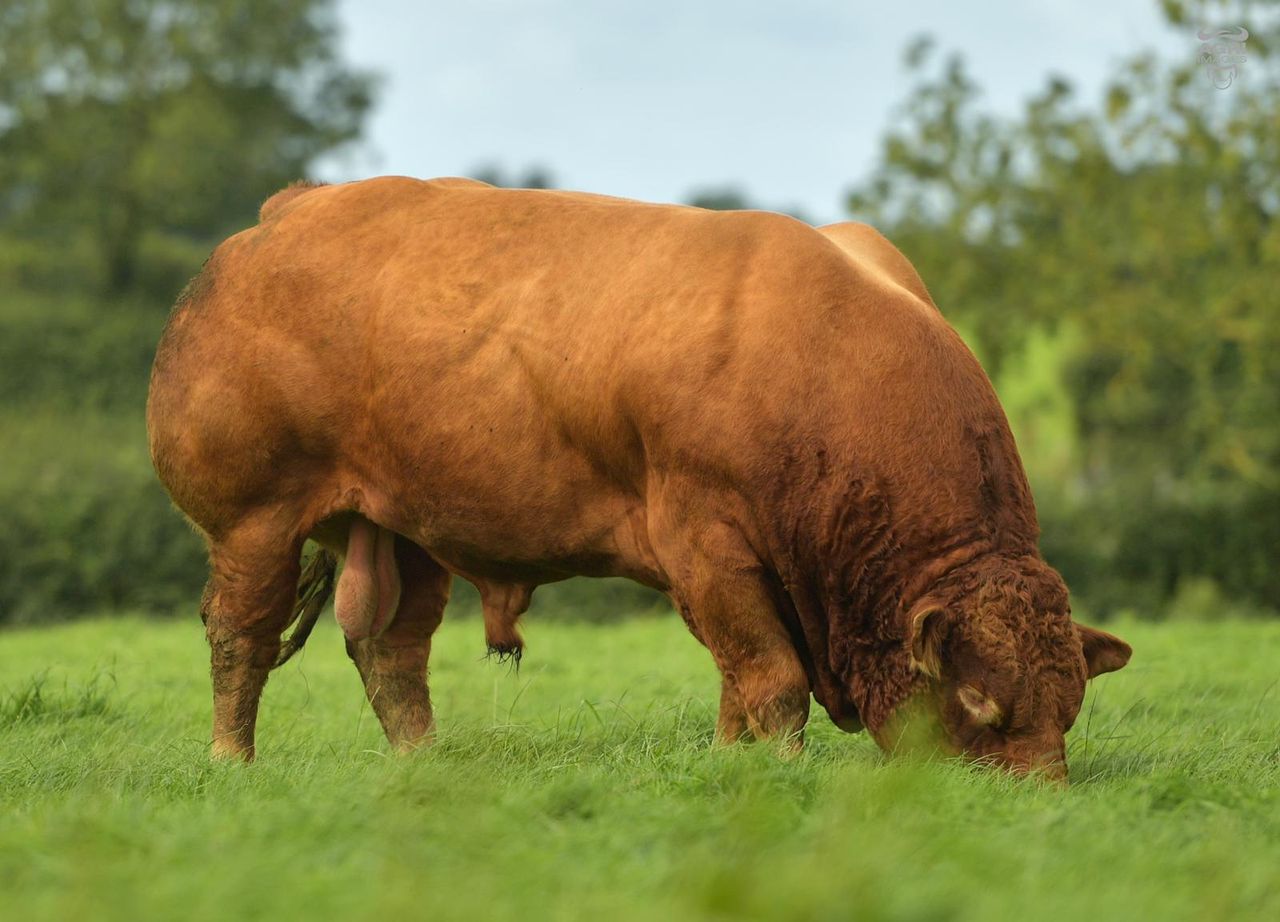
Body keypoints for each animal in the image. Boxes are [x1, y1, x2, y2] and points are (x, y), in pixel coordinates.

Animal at [146, 176, 1131, 779]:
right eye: (979, 702)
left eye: (1071, 708)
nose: (1038, 804)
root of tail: (286, 213)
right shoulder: (709, 547)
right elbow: (771, 681)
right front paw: (783, 774)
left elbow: (741, 684)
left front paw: (734, 768)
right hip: (253, 522)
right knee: (239, 637)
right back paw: (230, 761)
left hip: (404, 525)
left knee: (392, 650)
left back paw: (422, 764)